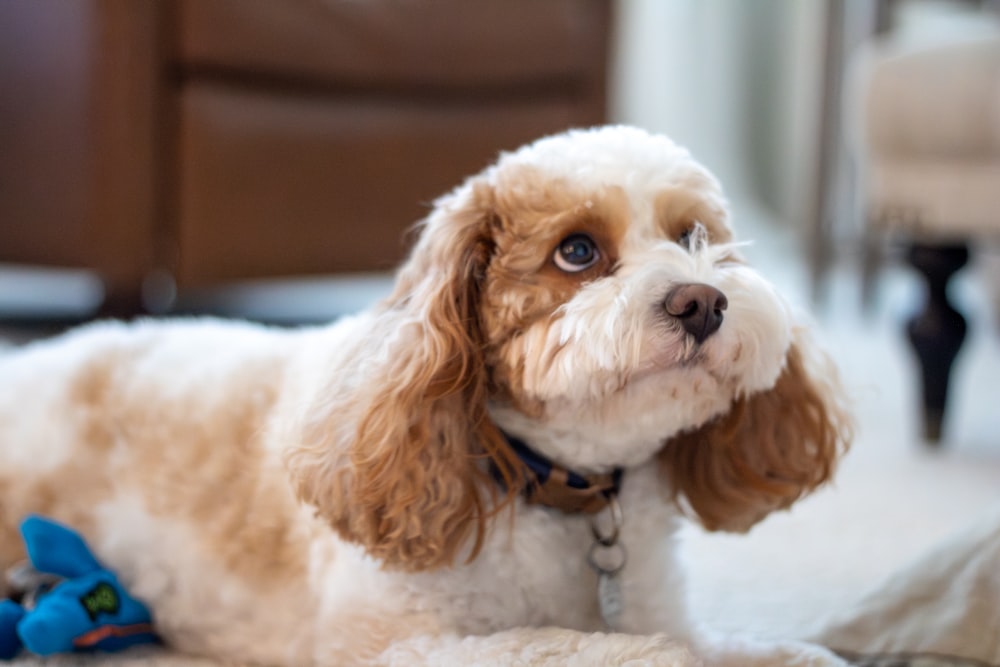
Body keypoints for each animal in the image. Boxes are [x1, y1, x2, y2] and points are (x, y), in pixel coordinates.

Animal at [0, 126, 852, 667]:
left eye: (693, 238)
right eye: (578, 251)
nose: (701, 301)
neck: (555, 493)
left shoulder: (662, 606)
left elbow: (767, 649)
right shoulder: (396, 641)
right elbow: (581, 646)